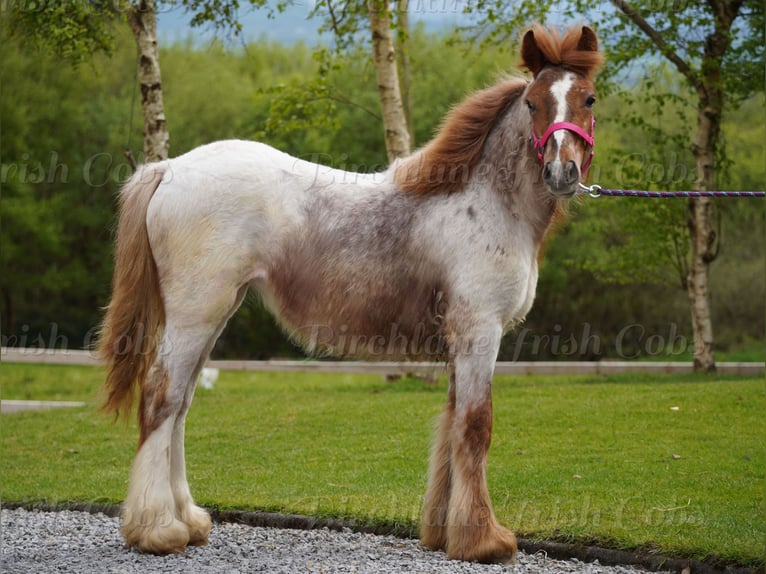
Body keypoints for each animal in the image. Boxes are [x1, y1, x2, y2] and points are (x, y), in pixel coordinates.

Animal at [97, 24, 603, 564]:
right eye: (532, 103)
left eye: (588, 98)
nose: (562, 172)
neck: (483, 201)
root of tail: (169, 169)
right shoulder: (480, 331)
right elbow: (474, 425)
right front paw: (484, 540)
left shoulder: (460, 340)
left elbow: (450, 422)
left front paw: (443, 532)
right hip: (195, 314)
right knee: (161, 398)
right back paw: (158, 530)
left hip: (215, 313)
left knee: (181, 406)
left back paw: (188, 521)